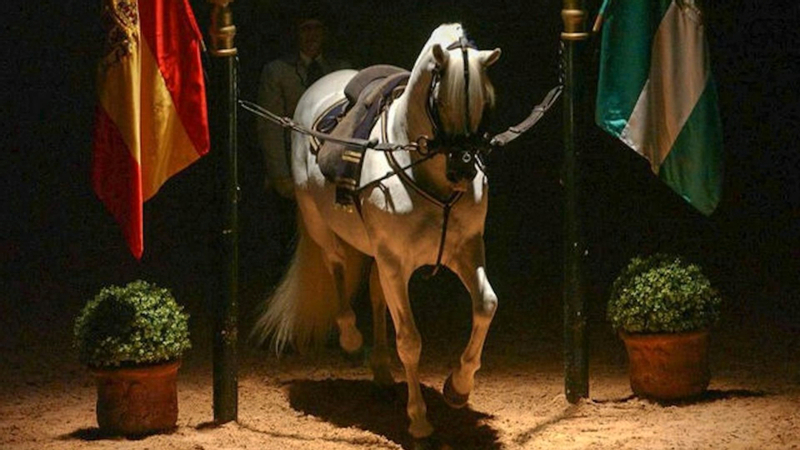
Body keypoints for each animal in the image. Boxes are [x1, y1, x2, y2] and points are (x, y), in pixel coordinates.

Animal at [254, 23, 502, 439]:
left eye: (485, 102)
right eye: (441, 101)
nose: (463, 169)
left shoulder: (465, 251)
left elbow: (485, 305)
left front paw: (458, 387)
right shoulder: (395, 264)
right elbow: (411, 340)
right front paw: (419, 420)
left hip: (378, 255)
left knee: (375, 294)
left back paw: (384, 373)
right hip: (323, 228)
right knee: (337, 268)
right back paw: (352, 339)